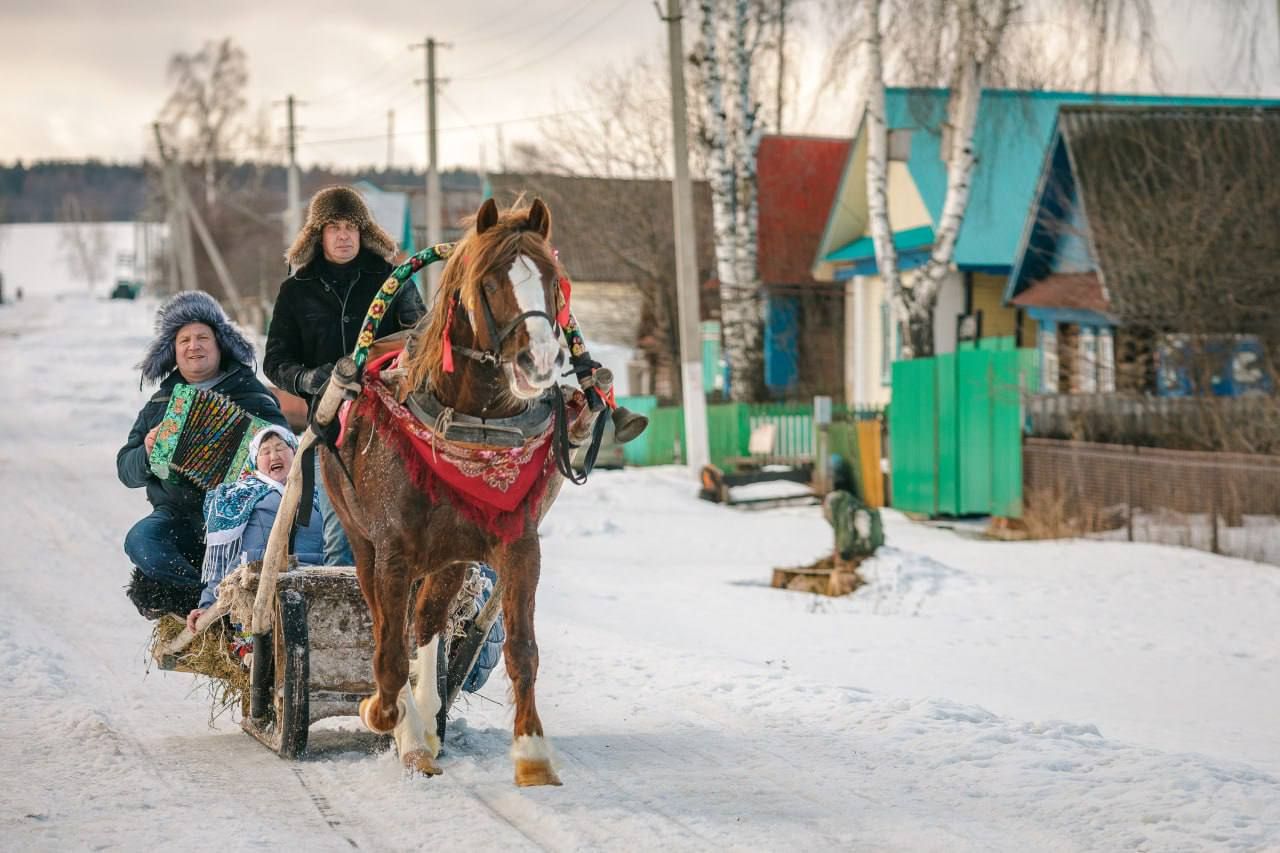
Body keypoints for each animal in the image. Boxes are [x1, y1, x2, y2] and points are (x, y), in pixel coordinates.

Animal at [320, 195, 599, 778]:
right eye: (490, 282)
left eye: (553, 281)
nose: (541, 362)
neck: (471, 427)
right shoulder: (393, 552)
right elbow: (387, 652)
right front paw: (384, 714)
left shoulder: (518, 545)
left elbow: (522, 649)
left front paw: (532, 752)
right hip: (361, 543)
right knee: (389, 627)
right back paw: (406, 725)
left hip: (450, 557)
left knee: (427, 624)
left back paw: (427, 723)